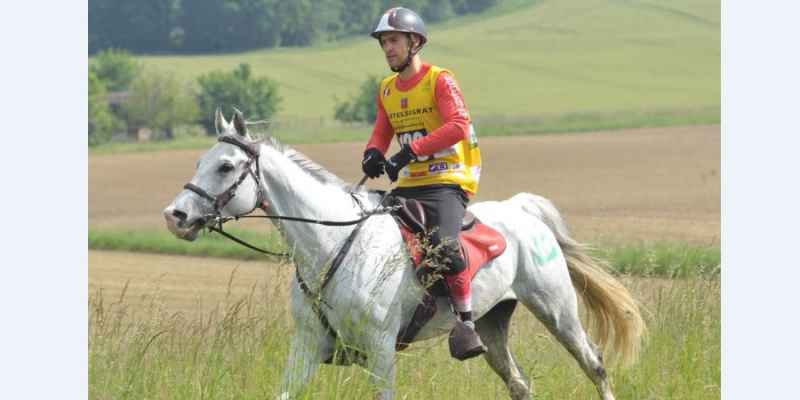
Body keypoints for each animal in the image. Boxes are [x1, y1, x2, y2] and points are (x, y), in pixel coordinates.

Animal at [161, 110, 644, 400]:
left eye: (225, 166)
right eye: (200, 161)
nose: (175, 215)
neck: (331, 247)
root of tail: (523, 210)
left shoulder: (380, 350)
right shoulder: (307, 347)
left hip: (556, 309)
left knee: (594, 364)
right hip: (491, 323)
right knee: (519, 383)